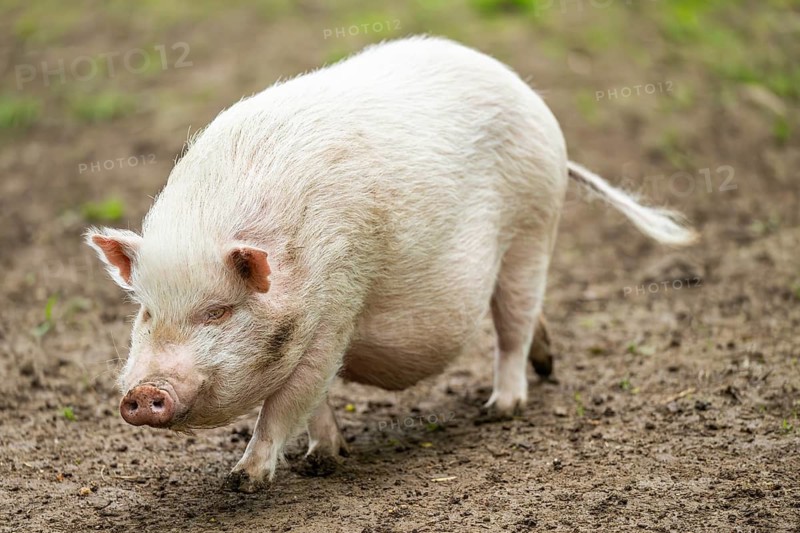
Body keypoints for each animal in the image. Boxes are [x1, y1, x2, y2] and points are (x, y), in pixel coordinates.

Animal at [86, 36, 696, 492]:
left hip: (532, 227)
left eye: (217, 311)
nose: (142, 394)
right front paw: (325, 459)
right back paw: (544, 368)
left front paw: (244, 480)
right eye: (146, 313)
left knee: (514, 325)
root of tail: (530, 96)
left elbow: (292, 397)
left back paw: (500, 408)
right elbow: (315, 399)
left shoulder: (337, 306)